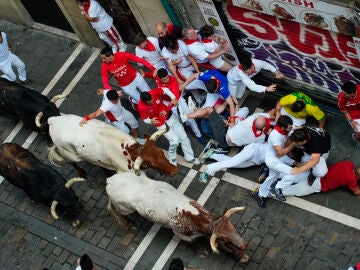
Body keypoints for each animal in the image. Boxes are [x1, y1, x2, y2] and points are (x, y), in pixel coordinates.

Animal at [47, 114, 177, 177]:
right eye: (152, 163)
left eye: (161, 153)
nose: (174, 170)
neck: (128, 150)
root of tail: (53, 120)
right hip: (68, 153)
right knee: (71, 162)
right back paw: (81, 173)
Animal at [105, 172, 249, 262]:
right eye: (225, 239)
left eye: (234, 227)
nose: (244, 245)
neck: (193, 215)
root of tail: (110, 180)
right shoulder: (182, 234)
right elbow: (191, 244)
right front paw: (201, 252)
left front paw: (241, 256)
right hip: (123, 208)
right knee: (124, 214)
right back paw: (132, 223)